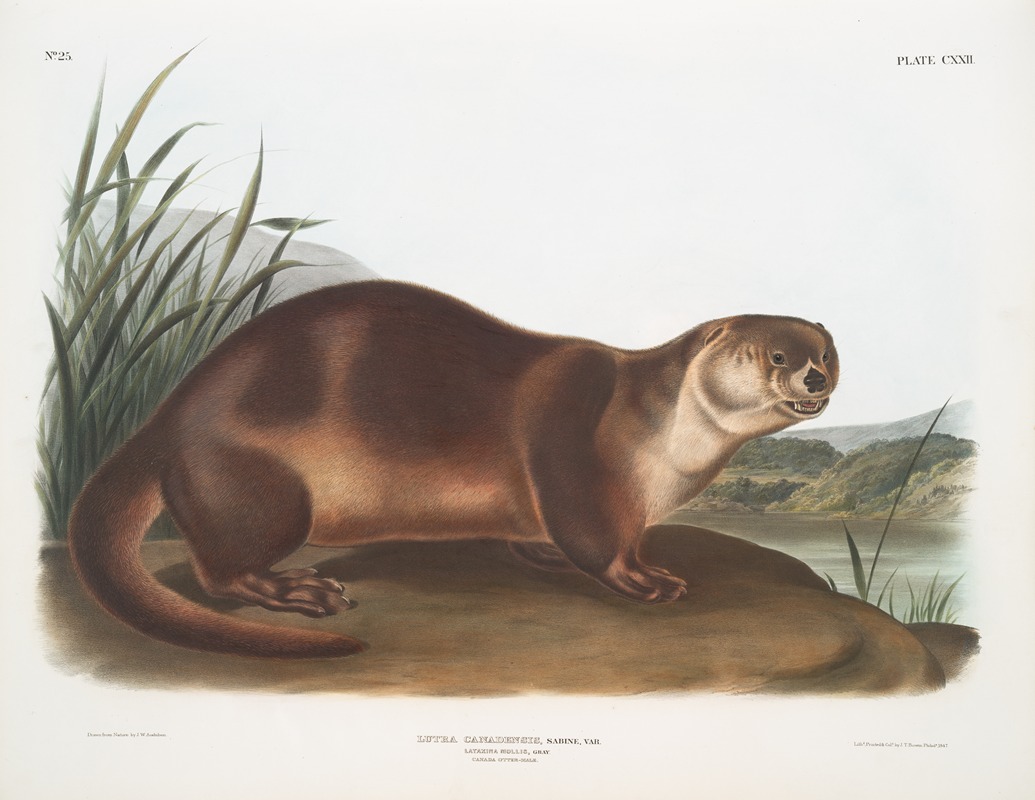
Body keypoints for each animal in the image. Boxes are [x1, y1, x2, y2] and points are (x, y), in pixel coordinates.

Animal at [67, 280, 838, 658]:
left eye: (826, 353)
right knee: (219, 569)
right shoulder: (573, 439)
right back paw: (296, 589)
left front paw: (543, 555)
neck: (662, 440)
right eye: (774, 354)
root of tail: (167, 418)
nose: (813, 378)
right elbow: (593, 536)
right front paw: (645, 578)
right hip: (258, 482)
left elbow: (545, 534)